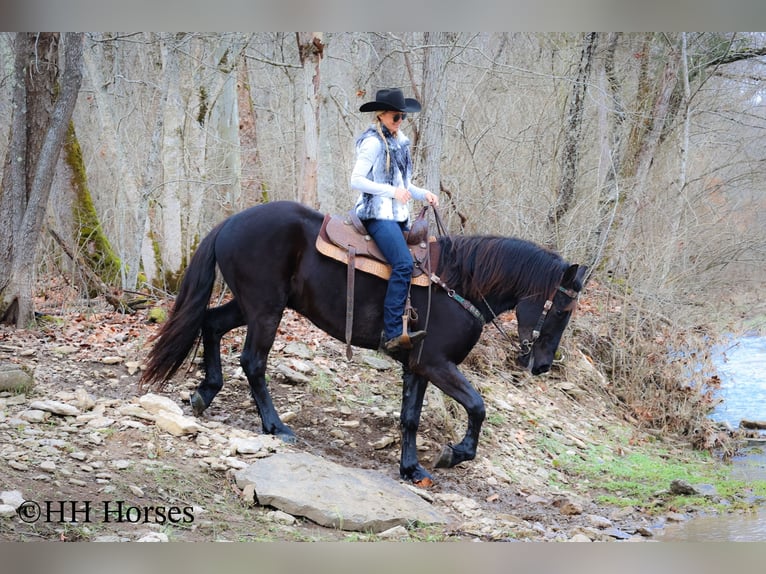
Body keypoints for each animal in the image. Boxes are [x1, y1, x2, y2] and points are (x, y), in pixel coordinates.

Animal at [140, 201, 588, 486]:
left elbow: (410, 418)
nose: (542, 365)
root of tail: (231, 222)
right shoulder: (438, 364)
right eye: (562, 310)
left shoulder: (418, 366)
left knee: (212, 324)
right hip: (266, 309)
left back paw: (205, 393)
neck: (458, 283)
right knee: (253, 362)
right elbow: (477, 407)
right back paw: (275, 426)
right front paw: (454, 454)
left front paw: (412, 470)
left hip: (253, 305)